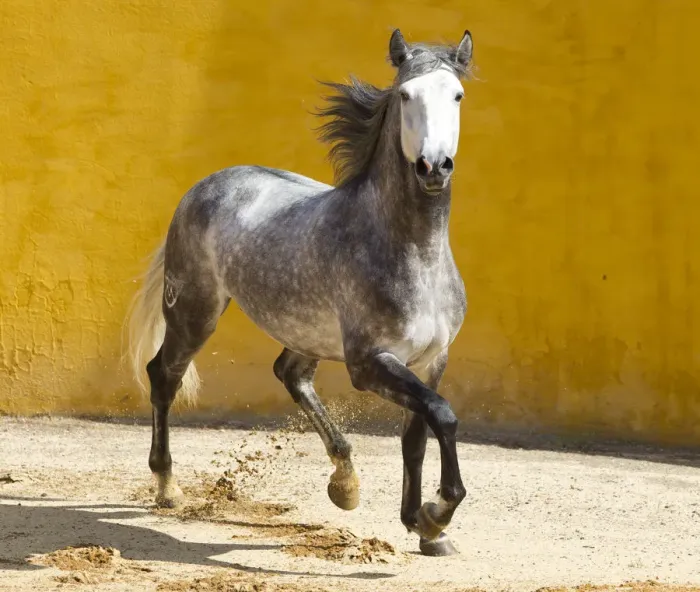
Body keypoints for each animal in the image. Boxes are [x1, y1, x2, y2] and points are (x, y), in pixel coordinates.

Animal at [126, 28, 473, 557]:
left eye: (456, 94)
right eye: (405, 95)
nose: (433, 167)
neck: (414, 253)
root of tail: (205, 186)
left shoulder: (432, 360)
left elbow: (417, 436)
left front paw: (424, 528)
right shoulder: (368, 363)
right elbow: (443, 416)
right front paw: (436, 514)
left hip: (303, 334)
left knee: (289, 374)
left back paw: (345, 482)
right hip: (194, 311)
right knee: (163, 376)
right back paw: (167, 487)